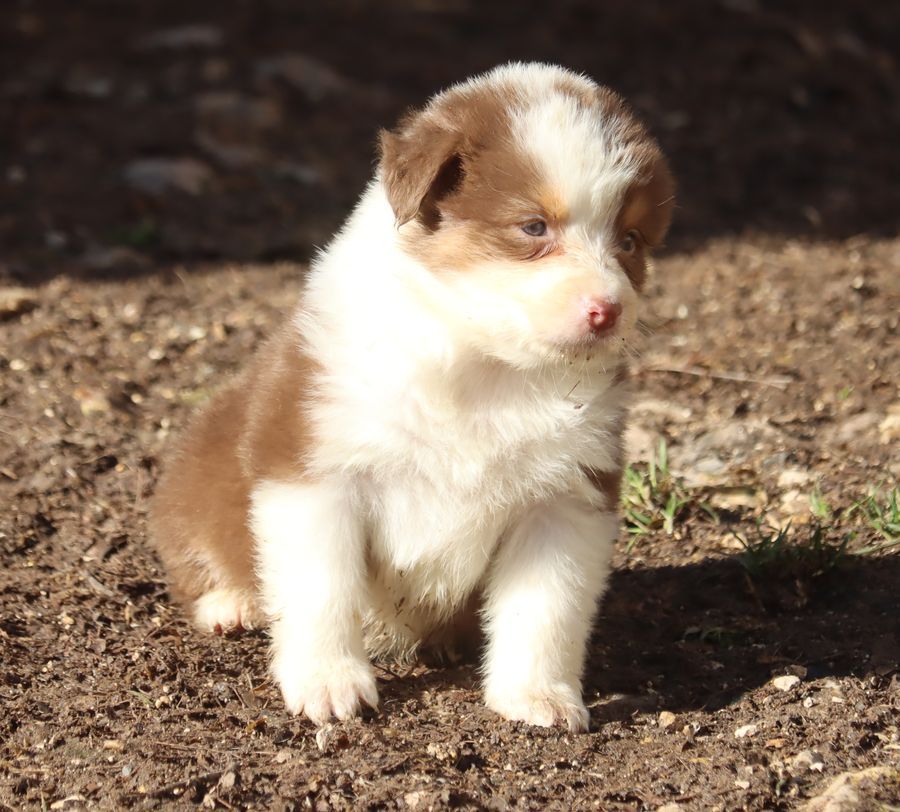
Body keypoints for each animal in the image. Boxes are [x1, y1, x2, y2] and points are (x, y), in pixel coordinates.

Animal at [151, 63, 676, 732]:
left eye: (630, 240)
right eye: (533, 226)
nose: (608, 311)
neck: (485, 366)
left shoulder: (565, 497)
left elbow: (545, 607)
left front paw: (538, 698)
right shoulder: (315, 471)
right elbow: (322, 588)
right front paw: (328, 685)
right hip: (193, 483)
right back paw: (232, 604)